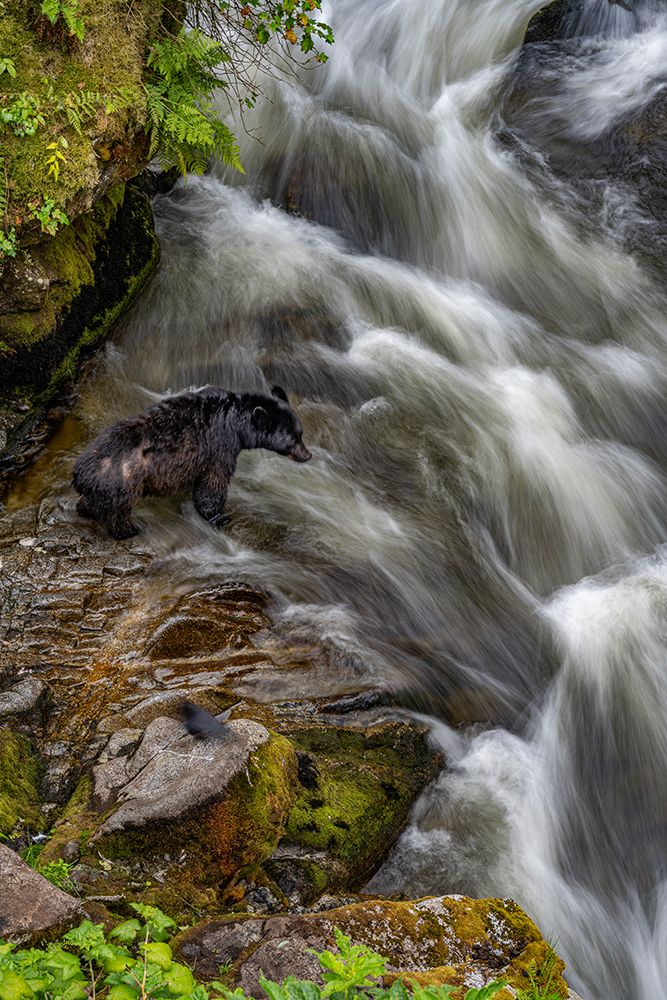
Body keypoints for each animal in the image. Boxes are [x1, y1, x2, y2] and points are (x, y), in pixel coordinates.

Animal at [72, 385, 311, 540]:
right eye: (293, 438)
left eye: (301, 432)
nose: (307, 455)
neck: (235, 422)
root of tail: (80, 473)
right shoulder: (220, 446)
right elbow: (213, 483)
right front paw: (218, 516)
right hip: (123, 481)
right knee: (118, 512)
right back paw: (128, 531)